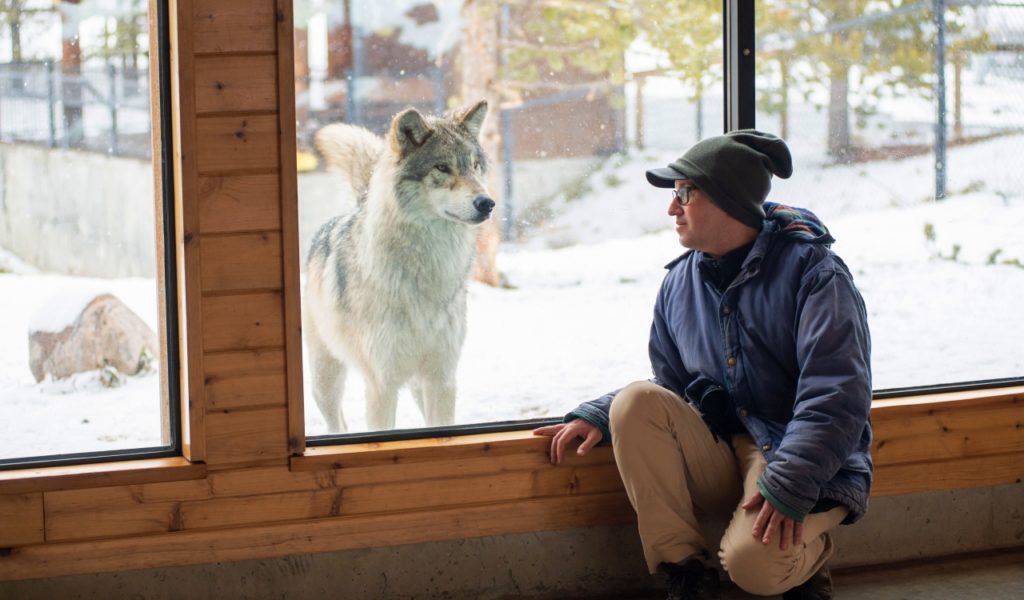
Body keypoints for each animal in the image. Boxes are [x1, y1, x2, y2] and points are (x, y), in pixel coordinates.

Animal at [301, 100, 493, 432]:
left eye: (475, 165)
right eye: (442, 167)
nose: (487, 203)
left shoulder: (442, 380)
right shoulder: (382, 385)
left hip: (417, 386)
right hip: (325, 381)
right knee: (338, 425)